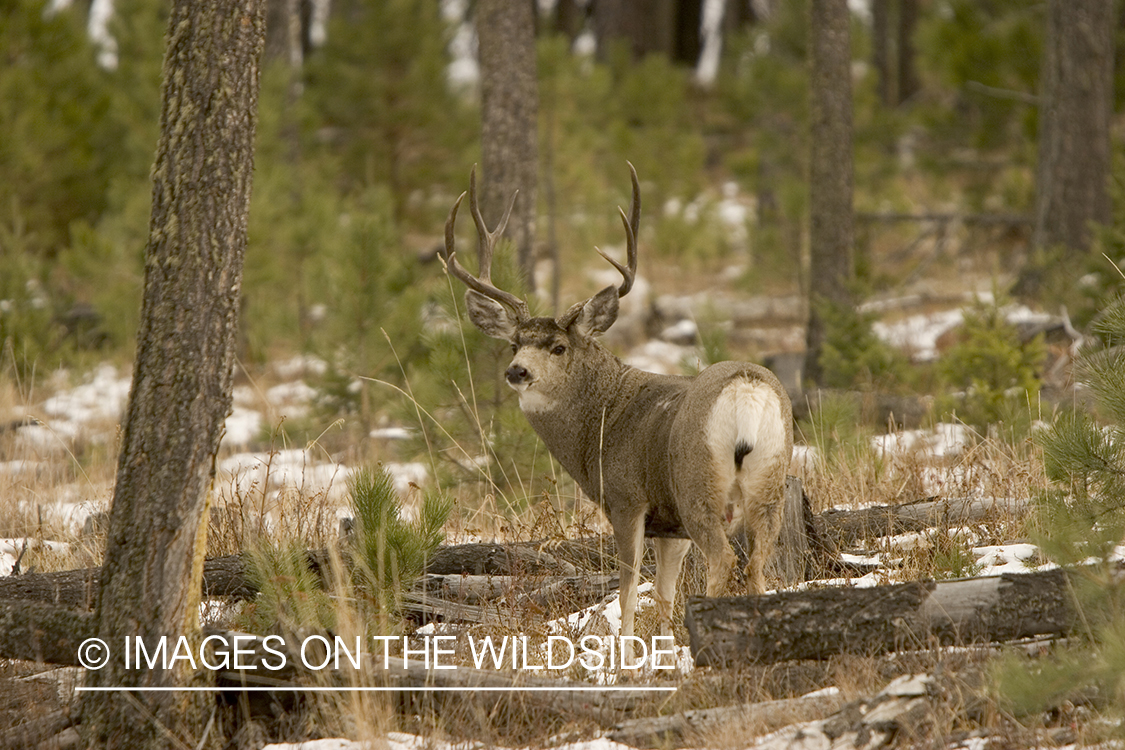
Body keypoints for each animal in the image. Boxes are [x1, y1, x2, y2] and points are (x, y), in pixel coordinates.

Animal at [434, 165, 796, 670]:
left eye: (558, 347)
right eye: (514, 343)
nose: (517, 371)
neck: (604, 419)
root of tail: (747, 387)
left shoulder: (627, 499)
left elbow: (626, 591)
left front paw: (624, 659)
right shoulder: (670, 525)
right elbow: (662, 593)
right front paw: (660, 653)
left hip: (698, 483)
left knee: (725, 560)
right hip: (770, 482)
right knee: (759, 562)